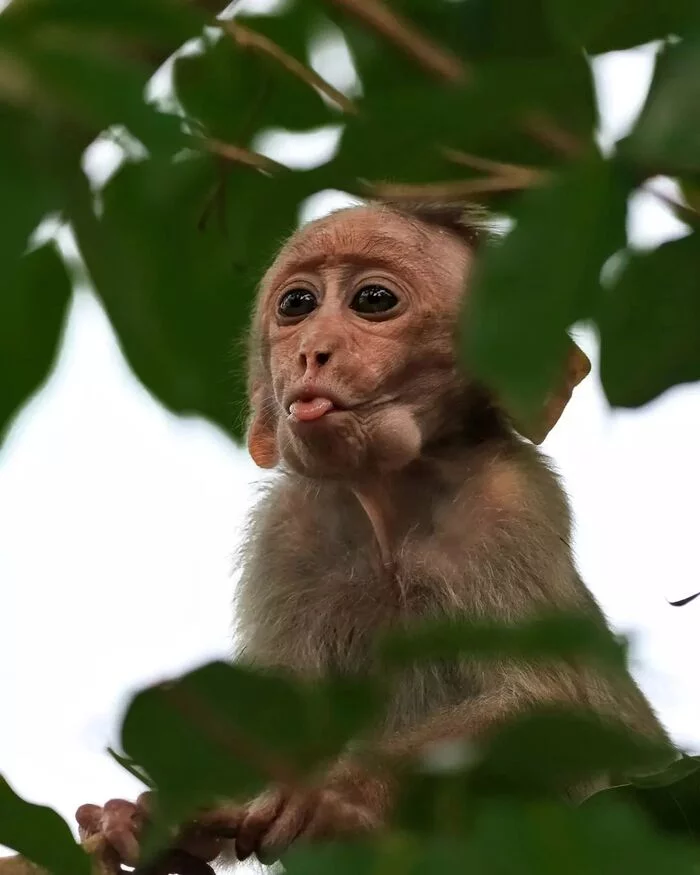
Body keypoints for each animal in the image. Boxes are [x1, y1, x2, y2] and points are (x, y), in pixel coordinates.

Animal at [1, 200, 680, 875]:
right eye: (297, 304)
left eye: (373, 300)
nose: (311, 352)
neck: (390, 516)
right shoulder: (287, 533)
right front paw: (138, 824)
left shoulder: (511, 505)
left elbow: (552, 709)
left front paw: (334, 795)